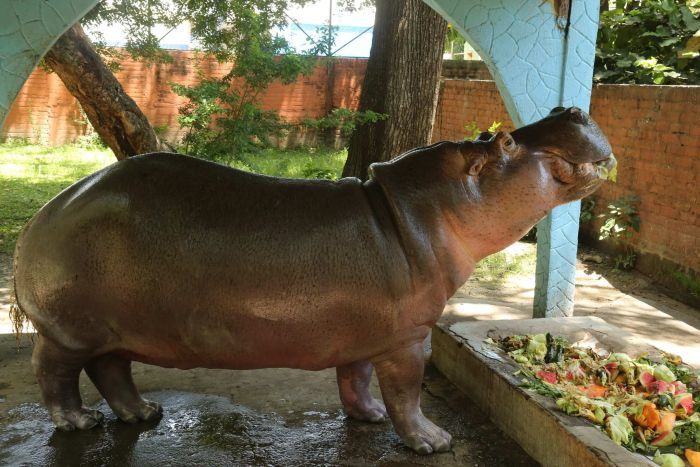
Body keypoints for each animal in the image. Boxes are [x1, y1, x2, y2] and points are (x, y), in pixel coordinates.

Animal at [12, 106, 612, 454]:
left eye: (492, 133)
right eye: (506, 143)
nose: (570, 106)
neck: (420, 209)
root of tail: (46, 210)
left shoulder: (369, 334)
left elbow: (358, 379)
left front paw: (368, 418)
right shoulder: (408, 337)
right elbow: (407, 393)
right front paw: (433, 442)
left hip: (113, 328)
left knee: (111, 369)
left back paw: (144, 415)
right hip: (70, 329)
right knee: (54, 372)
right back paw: (79, 424)